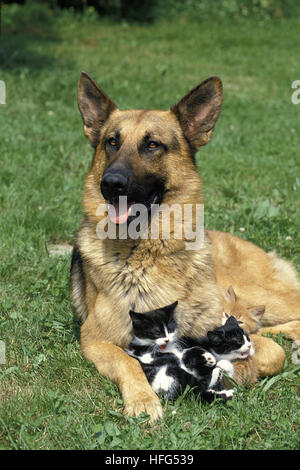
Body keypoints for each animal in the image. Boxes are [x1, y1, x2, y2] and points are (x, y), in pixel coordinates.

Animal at [71, 71, 300, 420]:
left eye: (152, 145)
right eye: (112, 142)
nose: (110, 184)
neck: (149, 252)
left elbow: (273, 353)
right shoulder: (96, 340)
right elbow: (127, 361)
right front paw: (143, 399)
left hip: (262, 294)